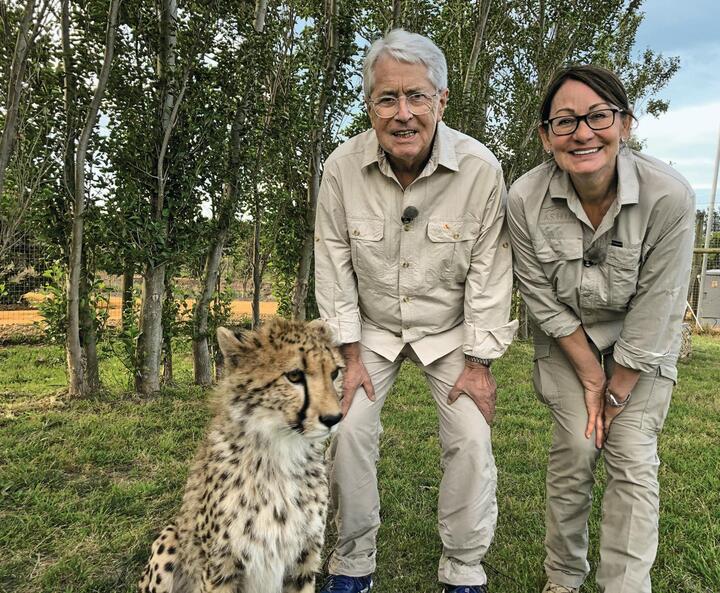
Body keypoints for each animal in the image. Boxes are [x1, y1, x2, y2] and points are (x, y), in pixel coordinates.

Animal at [140, 320, 346, 592]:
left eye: (335, 373)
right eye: (294, 376)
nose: (334, 418)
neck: (282, 453)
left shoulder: (304, 558)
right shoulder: (221, 569)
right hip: (171, 537)